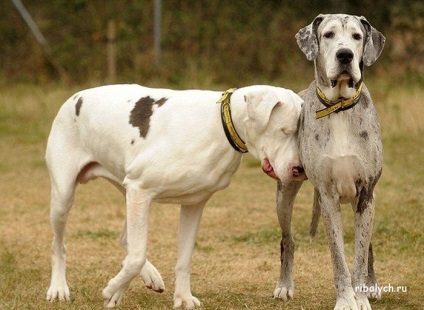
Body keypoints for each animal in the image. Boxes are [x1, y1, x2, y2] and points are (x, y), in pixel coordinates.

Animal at [45, 84, 304, 308]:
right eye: (284, 131)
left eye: (299, 134)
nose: (300, 169)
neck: (219, 125)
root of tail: (75, 96)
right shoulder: (140, 190)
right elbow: (137, 256)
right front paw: (112, 290)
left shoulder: (193, 204)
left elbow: (183, 259)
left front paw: (182, 298)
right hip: (65, 197)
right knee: (59, 245)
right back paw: (58, 287)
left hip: (126, 189)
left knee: (126, 239)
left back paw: (149, 276)